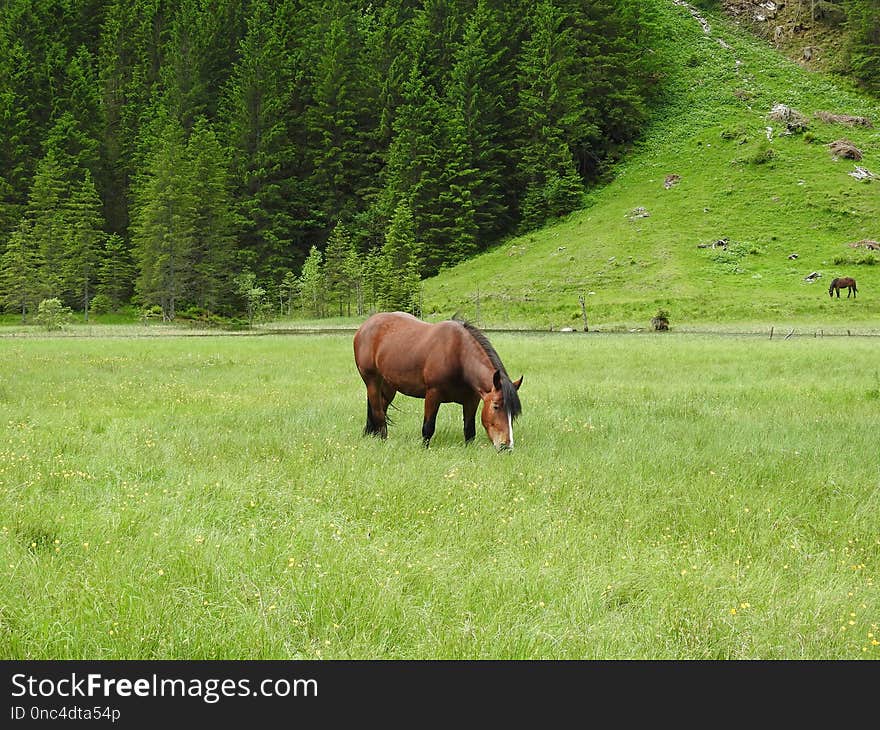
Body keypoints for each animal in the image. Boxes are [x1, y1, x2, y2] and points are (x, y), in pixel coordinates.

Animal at [356, 312, 524, 450]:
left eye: (513, 413)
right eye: (496, 406)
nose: (506, 446)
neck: (458, 354)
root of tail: (364, 327)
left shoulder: (472, 400)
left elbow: (469, 430)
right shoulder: (433, 394)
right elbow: (428, 427)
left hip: (389, 386)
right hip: (372, 382)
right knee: (378, 412)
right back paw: (383, 440)